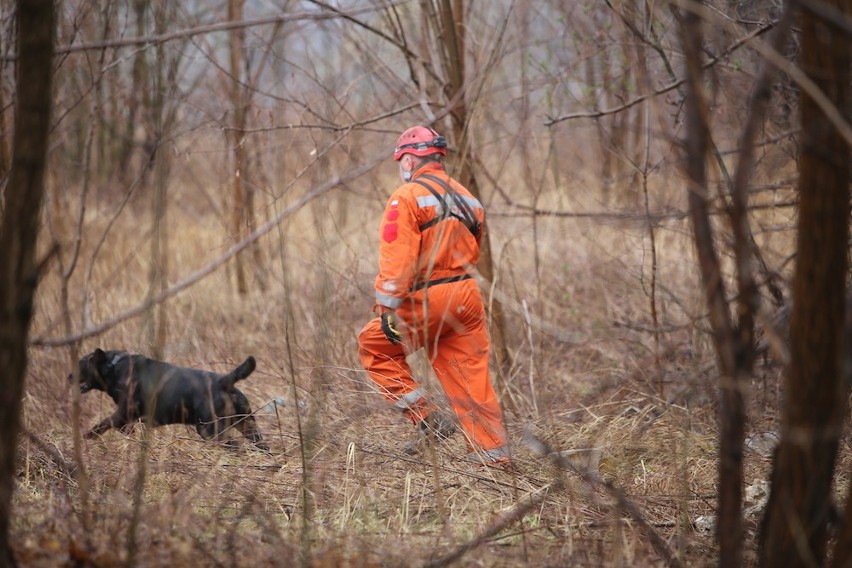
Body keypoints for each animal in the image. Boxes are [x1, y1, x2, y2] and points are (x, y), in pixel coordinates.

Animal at [73, 348, 268, 450]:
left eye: (81, 364)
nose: (69, 376)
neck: (115, 367)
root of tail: (224, 381)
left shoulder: (123, 413)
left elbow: (103, 424)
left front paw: (86, 437)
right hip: (247, 425)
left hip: (210, 429)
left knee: (235, 446)